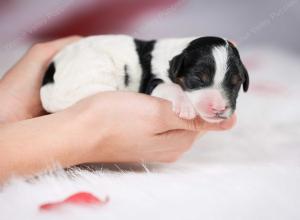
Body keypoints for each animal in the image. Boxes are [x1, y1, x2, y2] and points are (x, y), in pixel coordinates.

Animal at [41, 35, 250, 123]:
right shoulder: (153, 81)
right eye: (198, 78)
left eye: (236, 83)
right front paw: (184, 106)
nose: (219, 109)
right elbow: (170, 87)